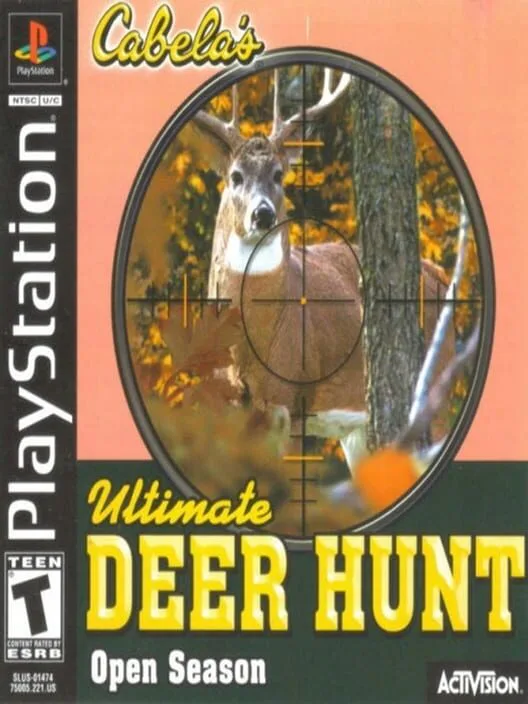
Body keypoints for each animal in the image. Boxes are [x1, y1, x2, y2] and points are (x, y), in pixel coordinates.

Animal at [192, 68, 454, 476]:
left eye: (279, 175)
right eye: (235, 176)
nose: (262, 214)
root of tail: (438, 273)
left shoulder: (291, 403)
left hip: (436, 386)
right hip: (358, 429)